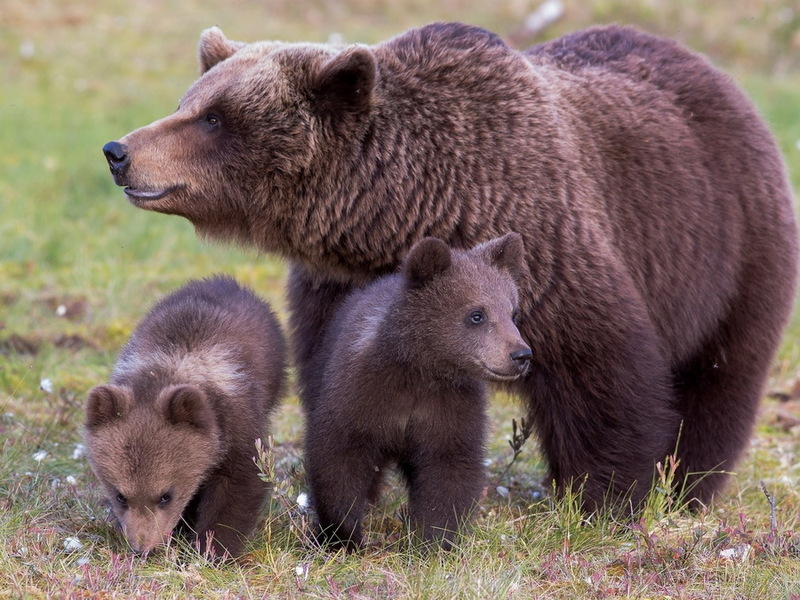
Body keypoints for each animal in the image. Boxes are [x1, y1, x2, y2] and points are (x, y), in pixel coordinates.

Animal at [103, 22, 796, 510]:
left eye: (214, 118)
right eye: (189, 102)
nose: (118, 150)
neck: (404, 209)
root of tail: (719, 77)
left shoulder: (546, 245)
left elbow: (603, 371)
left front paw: (605, 498)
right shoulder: (337, 287)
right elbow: (338, 386)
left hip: (727, 245)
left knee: (718, 378)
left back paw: (687, 488)